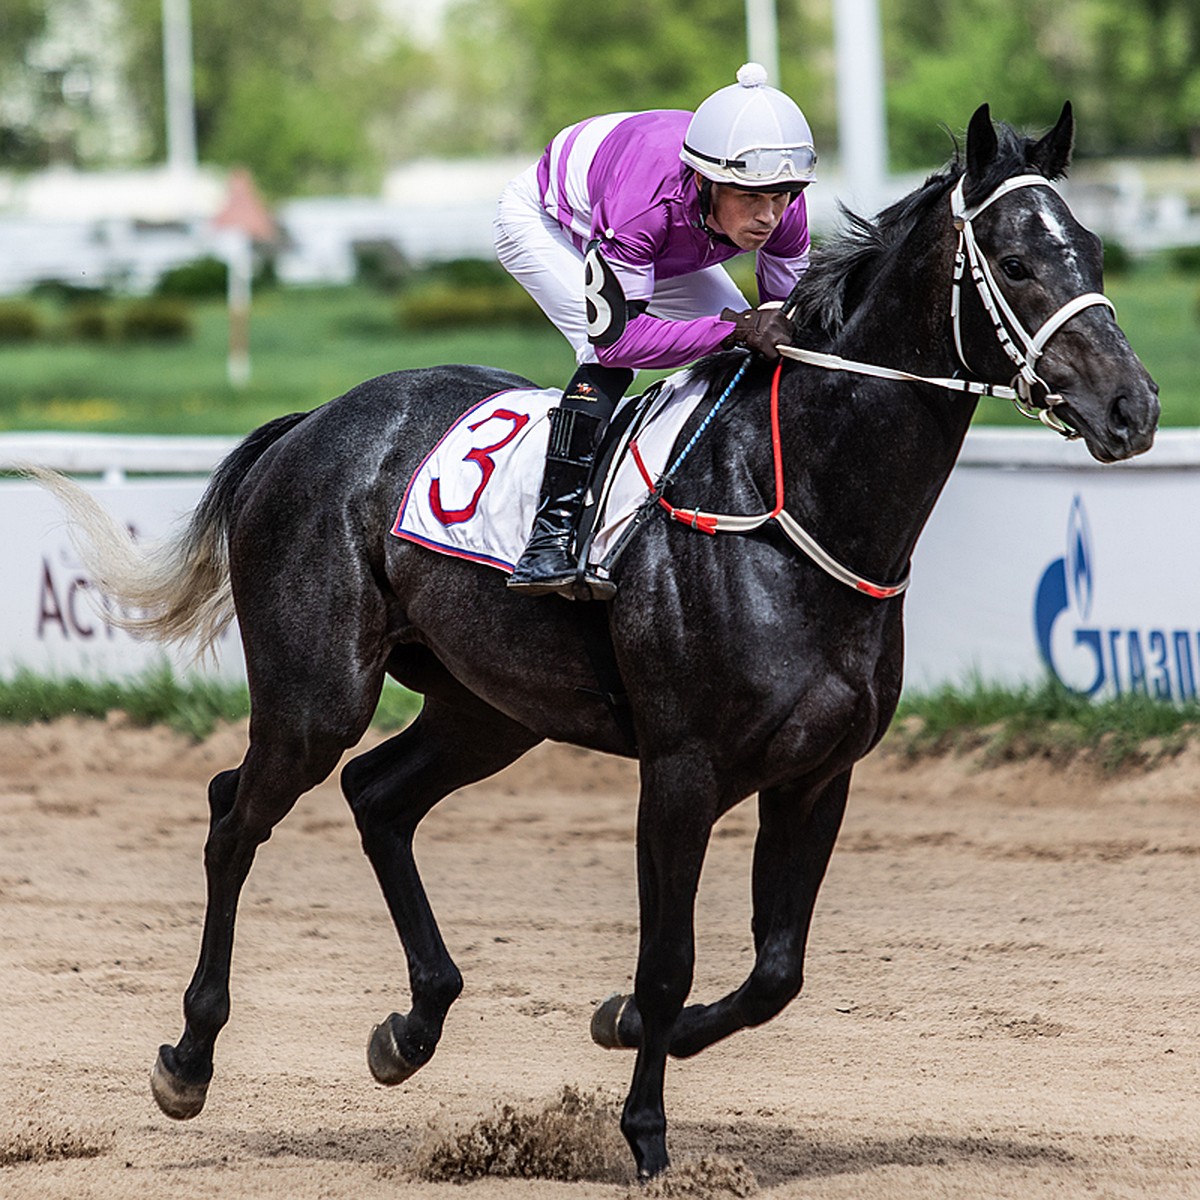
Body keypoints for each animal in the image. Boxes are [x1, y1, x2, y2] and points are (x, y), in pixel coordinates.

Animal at [42, 103, 1156, 1180]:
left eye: (1094, 250)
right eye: (1015, 261)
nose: (1134, 406)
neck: (795, 498)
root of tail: (311, 421)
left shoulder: (818, 774)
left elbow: (776, 971)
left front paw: (620, 1026)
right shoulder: (681, 768)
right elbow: (668, 961)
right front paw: (648, 1138)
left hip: (489, 708)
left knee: (377, 796)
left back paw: (412, 1027)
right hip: (318, 693)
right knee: (237, 816)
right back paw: (190, 1056)